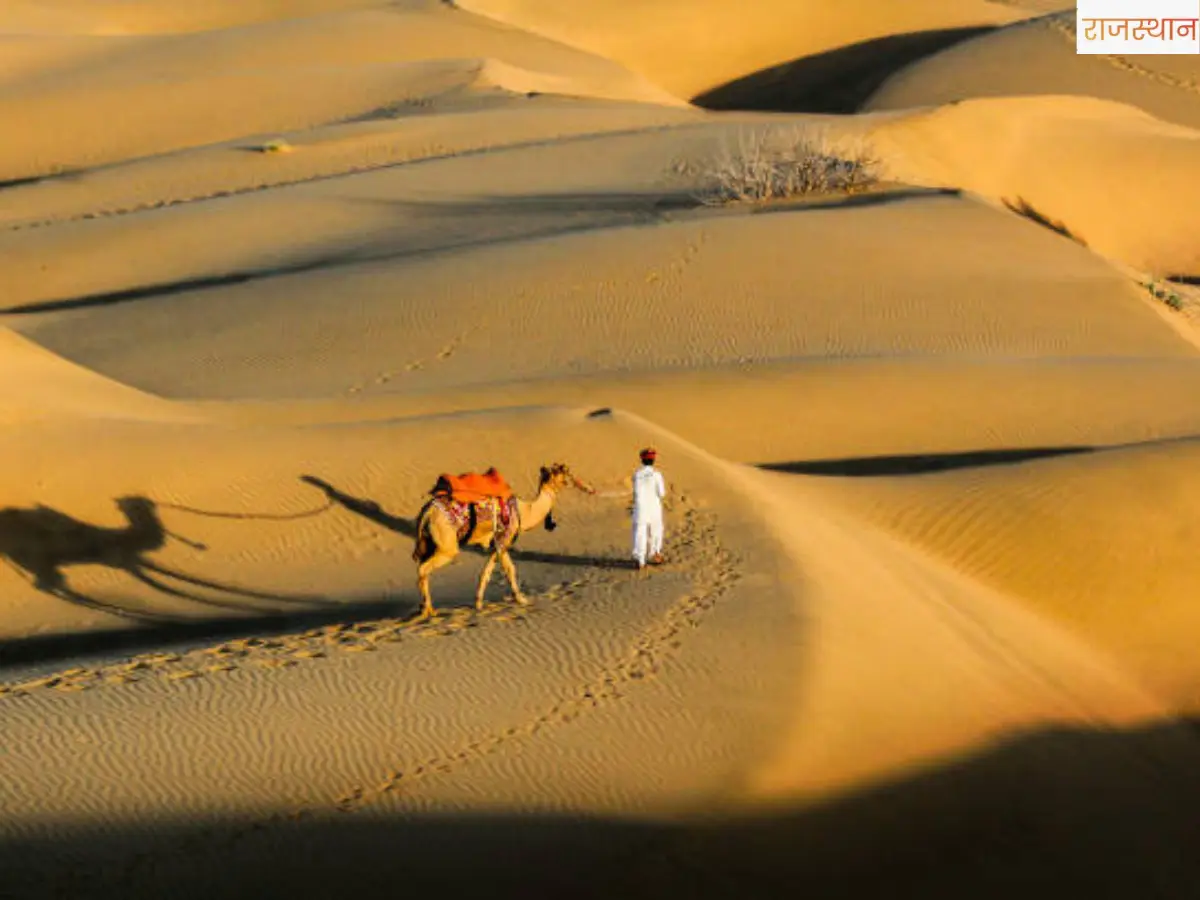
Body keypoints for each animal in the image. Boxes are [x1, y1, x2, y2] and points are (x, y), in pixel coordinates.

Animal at [411, 462, 593, 618]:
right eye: (565, 471)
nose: (585, 486)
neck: (524, 512)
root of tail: (428, 510)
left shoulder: (497, 543)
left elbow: (487, 571)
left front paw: (479, 604)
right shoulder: (504, 538)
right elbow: (510, 569)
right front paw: (522, 600)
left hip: (429, 541)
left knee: (422, 566)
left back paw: (423, 608)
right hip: (447, 543)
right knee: (424, 568)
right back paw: (429, 610)